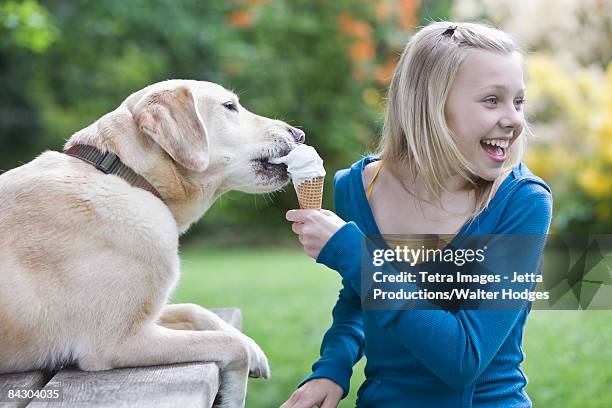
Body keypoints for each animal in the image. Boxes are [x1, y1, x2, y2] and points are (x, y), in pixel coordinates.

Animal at [0, 79, 304, 408]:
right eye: (229, 106)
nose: (299, 134)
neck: (129, 177)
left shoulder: (150, 316)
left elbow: (195, 310)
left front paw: (256, 350)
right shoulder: (117, 342)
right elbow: (231, 344)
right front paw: (234, 393)